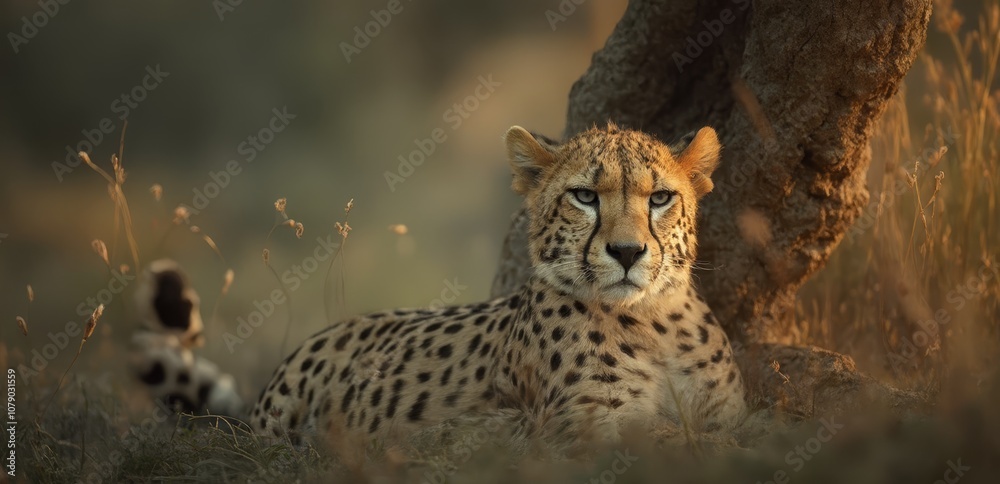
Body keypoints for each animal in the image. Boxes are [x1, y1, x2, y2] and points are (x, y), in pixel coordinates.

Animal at [249, 123, 747, 445]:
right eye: (585, 196)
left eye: (660, 197)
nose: (627, 252)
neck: (651, 319)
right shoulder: (578, 428)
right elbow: (669, 435)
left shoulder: (725, 415)